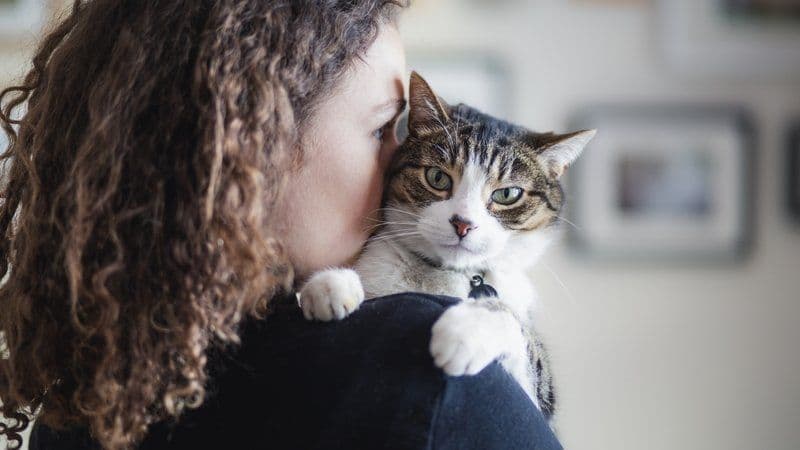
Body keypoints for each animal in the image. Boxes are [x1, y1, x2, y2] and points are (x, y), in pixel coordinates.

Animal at [296, 71, 592, 422]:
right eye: (437, 177)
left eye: (507, 194)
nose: (463, 223)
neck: (445, 274)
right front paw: (331, 285)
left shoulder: (540, 397)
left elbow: (517, 329)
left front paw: (466, 331)